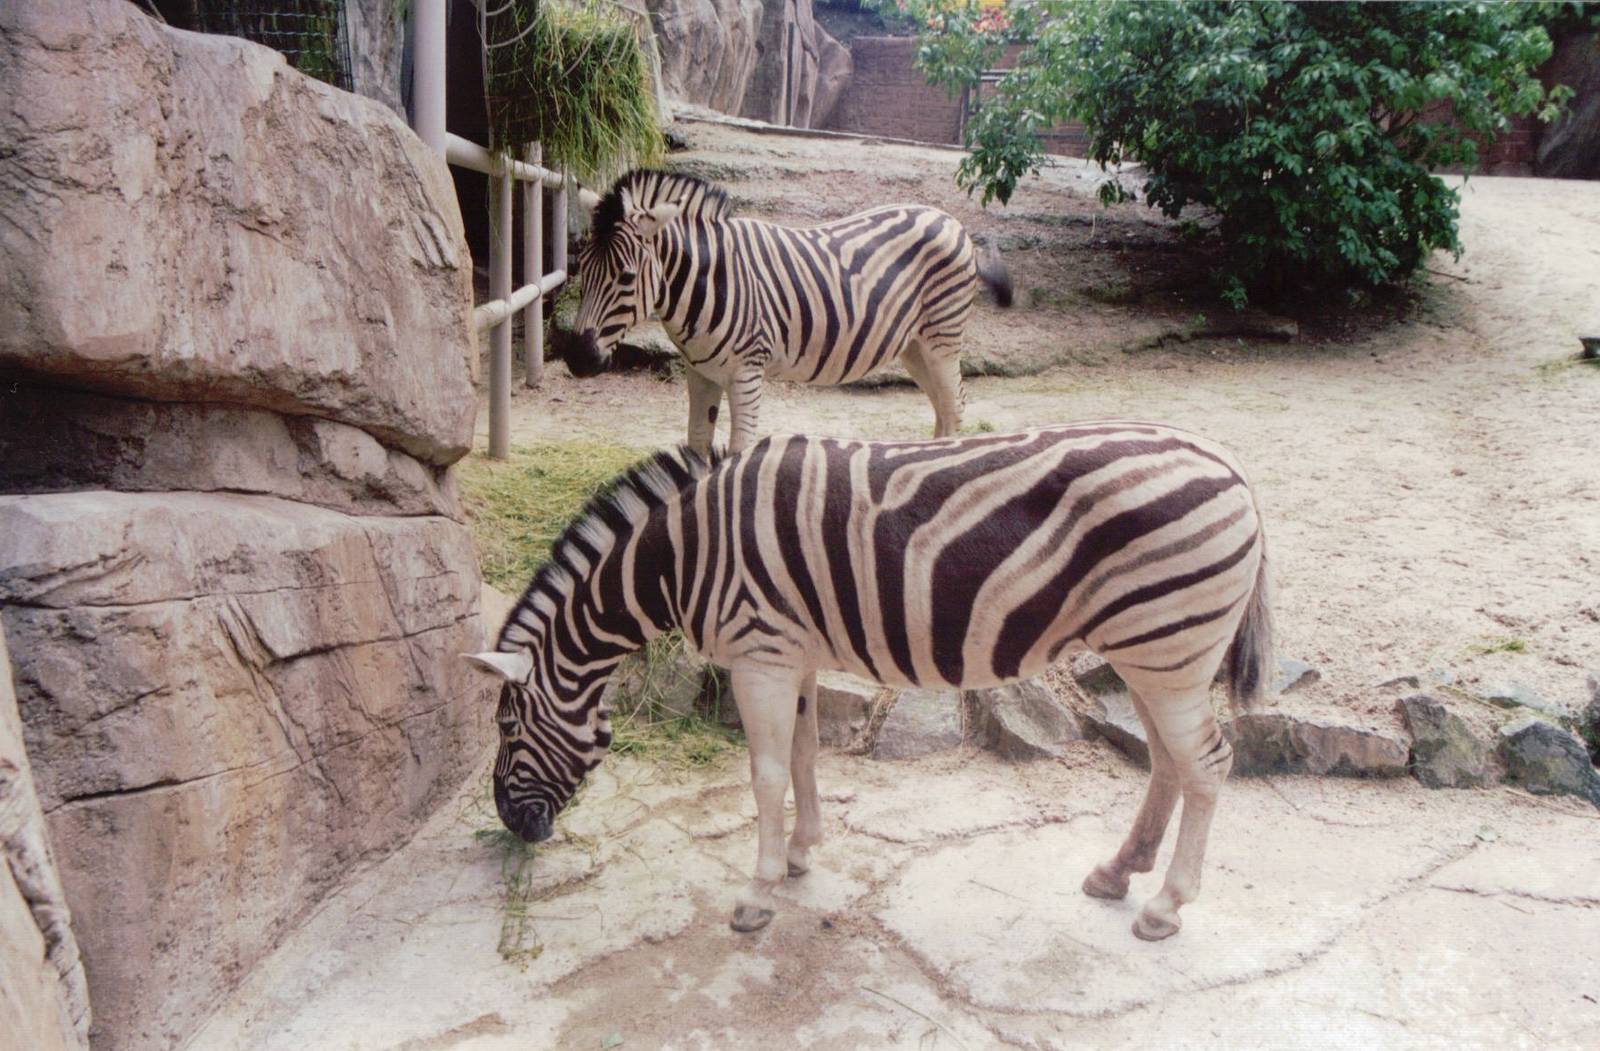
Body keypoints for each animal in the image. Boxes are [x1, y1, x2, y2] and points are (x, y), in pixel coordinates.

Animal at [465, 422, 1272, 941]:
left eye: (506, 727)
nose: (510, 824)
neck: (683, 555)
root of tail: (1234, 468)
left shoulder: (759, 655)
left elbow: (764, 774)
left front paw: (757, 893)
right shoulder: (791, 653)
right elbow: (802, 754)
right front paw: (800, 854)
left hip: (1168, 646)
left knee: (1208, 764)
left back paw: (1165, 906)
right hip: (1153, 653)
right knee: (1168, 761)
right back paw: (1117, 871)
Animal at [559, 169, 1012, 454]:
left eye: (626, 277)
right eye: (580, 268)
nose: (577, 358)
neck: (707, 282)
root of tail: (952, 221)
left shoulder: (746, 372)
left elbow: (738, 449)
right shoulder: (700, 372)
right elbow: (697, 442)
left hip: (942, 338)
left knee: (954, 407)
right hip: (914, 346)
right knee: (943, 407)